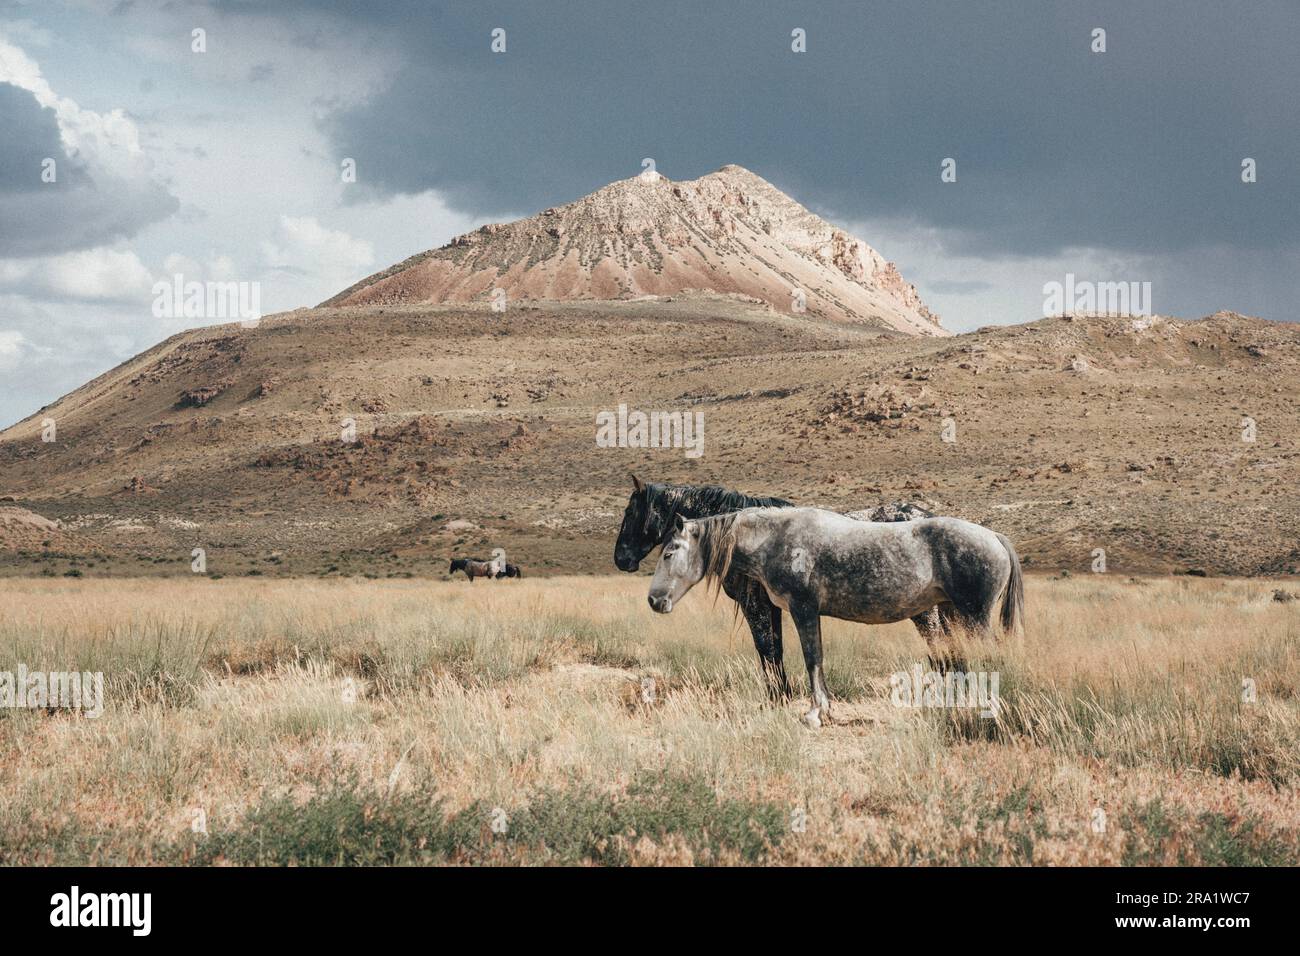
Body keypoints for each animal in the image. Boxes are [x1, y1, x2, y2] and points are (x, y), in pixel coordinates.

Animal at [650, 509, 1024, 723]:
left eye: (670, 552)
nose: (654, 600)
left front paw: (815, 712)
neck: (775, 538)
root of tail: (994, 537)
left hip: (974, 617)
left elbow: (812, 658)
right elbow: (815, 658)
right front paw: (824, 708)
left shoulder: (803, 609)